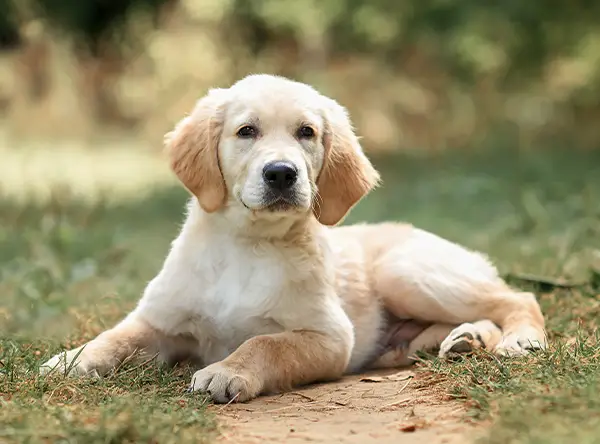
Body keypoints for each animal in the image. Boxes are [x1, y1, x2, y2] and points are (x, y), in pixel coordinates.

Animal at [41, 74, 548, 404]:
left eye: (307, 132)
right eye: (246, 131)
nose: (282, 173)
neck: (247, 246)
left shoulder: (329, 337)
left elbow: (266, 343)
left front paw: (227, 371)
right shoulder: (161, 322)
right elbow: (113, 338)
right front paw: (67, 361)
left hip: (406, 271)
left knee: (516, 298)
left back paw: (519, 339)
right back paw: (464, 340)